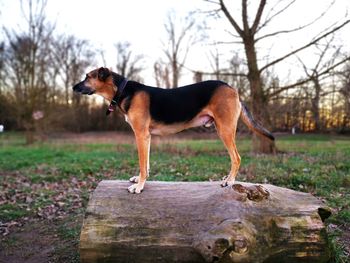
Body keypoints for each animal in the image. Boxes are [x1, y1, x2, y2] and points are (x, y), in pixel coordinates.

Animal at [72, 67, 274, 194]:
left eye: (87, 76)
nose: (73, 87)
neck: (121, 90)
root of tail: (234, 90)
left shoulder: (141, 135)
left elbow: (142, 163)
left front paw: (139, 187)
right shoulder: (147, 137)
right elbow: (146, 163)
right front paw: (140, 180)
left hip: (224, 130)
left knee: (236, 158)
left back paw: (230, 180)